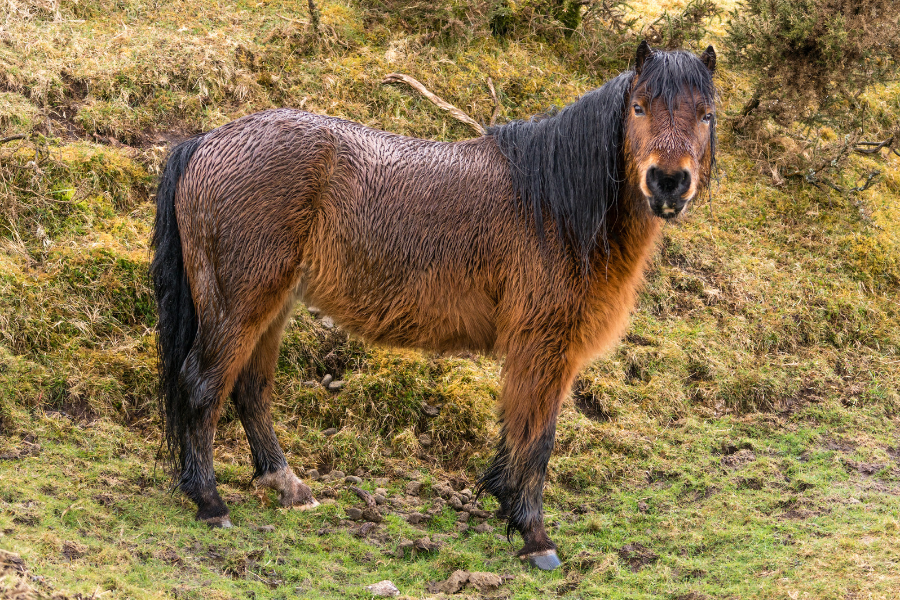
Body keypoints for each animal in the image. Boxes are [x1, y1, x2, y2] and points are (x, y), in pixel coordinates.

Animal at [150, 41, 717, 571]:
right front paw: (534, 536)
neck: (552, 206)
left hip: (271, 306)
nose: (668, 182)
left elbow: (523, 434)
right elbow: (536, 438)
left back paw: (287, 486)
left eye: (706, 113)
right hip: (239, 304)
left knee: (250, 390)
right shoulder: (543, 346)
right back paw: (210, 502)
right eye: (639, 107)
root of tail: (205, 142)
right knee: (202, 385)